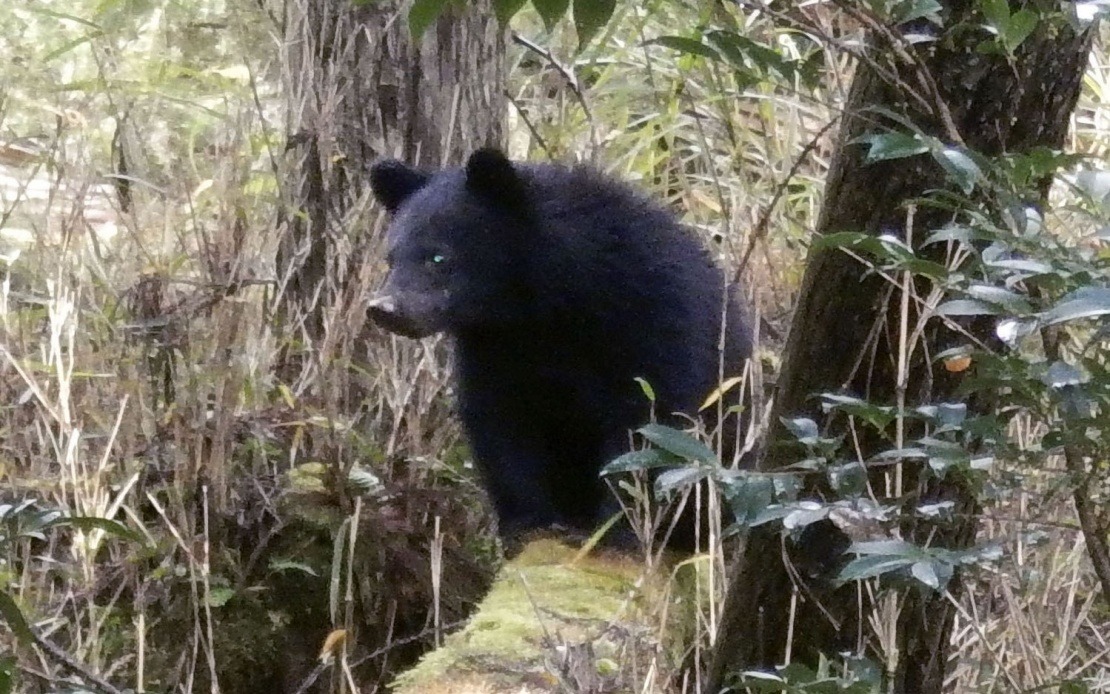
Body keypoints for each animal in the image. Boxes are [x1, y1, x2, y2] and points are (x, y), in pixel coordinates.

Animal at [367, 147, 752, 550]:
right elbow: (502, 423)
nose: (384, 309)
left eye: (439, 257)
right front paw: (529, 524)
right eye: (391, 257)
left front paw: (614, 528)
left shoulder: (652, 321)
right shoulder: (494, 350)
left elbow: (647, 423)